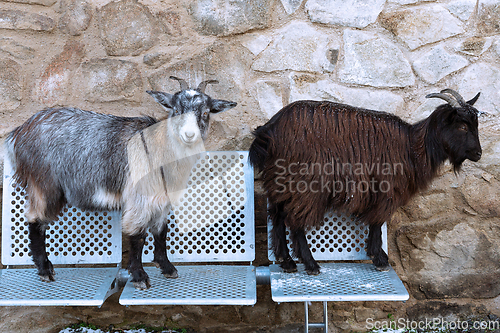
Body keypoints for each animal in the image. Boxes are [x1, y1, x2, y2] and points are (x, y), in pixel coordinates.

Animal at [5, 76, 236, 288]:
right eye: (177, 110)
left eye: (205, 112)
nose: (189, 134)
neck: (161, 149)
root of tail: (20, 132)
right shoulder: (139, 197)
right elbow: (138, 236)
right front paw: (140, 276)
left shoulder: (162, 199)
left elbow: (161, 231)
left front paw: (167, 267)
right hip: (44, 183)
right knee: (36, 220)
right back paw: (45, 270)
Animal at [250, 88, 484, 272]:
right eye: (462, 126)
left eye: (475, 125)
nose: (478, 154)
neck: (412, 147)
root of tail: (269, 130)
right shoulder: (386, 189)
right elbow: (378, 221)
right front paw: (379, 258)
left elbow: (375, 221)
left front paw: (376, 254)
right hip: (304, 183)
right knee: (296, 220)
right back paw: (310, 264)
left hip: (280, 182)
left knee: (278, 216)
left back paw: (287, 262)